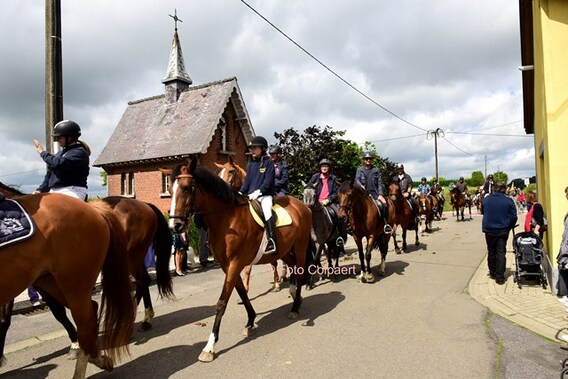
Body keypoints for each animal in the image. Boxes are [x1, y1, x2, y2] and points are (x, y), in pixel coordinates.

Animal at [214, 159, 286, 292]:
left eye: (231, 171)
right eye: (219, 173)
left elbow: (273, 262)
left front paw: (276, 283)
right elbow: (247, 268)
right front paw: (246, 288)